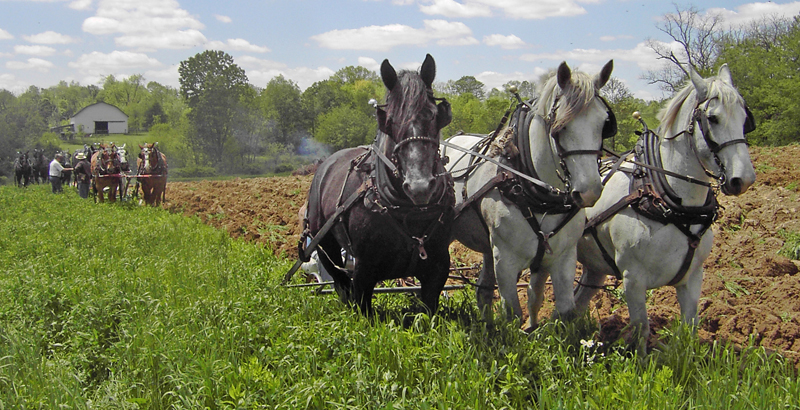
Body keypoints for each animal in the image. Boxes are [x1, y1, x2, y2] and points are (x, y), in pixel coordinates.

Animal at [303, 54, 455, 315]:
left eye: (435, 115)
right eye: (390, 121)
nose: (420, 187)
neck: (408, 210)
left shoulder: (438, 267)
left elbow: (428, 312)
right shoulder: (364, 271)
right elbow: (362, 307)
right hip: (323, 244)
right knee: (340, 282)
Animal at [441, 60, 615, 328]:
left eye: (604, 123)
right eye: (559, 126)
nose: (589, 192)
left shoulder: (563, 257)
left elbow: (555, 305)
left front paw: (533, 328)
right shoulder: (505, 260)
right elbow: (512, 311)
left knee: (483, 290)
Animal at [573, 64, 757, 355]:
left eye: (744, 117)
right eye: (713, 118)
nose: (744, 179)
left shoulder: (693, 278)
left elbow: (690, 328)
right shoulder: (633, 280)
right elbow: (642, 331)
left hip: (595, 266)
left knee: (577, 302)